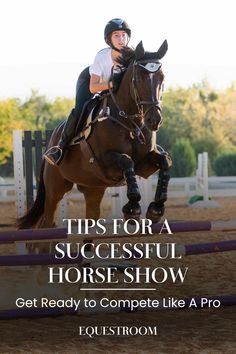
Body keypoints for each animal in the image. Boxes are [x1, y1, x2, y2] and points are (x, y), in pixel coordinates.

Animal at [17, 40, 171, 230]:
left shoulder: (144, 163)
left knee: (91, 215)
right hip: (55, 187)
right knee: (48, 219)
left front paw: (156, 209)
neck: (129, 121)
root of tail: (50, 144)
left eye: (162, 78)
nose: (154, 120)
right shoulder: (105, 161)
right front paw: (132, 209)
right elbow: (127, 161)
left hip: (93, 188)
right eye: (140, 78)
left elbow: (165, 161)